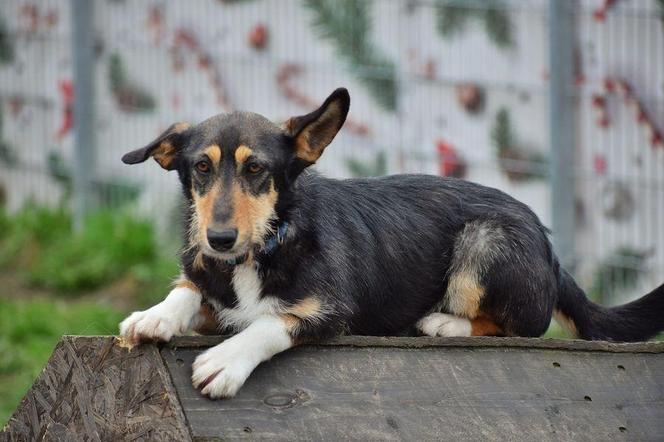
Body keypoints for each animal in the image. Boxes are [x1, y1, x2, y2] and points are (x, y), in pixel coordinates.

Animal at [122, 86, 664, 398]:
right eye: (201, 167)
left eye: (256, 169)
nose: (218, 238)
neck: (264, 247)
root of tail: (549, 248)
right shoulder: (210, 282)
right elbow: (188, 289)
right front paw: (153, 315)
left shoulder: (332, 311)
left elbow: (272, 323)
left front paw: (226, 361)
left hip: (485, 240)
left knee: (523, 327)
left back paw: (445, 323)